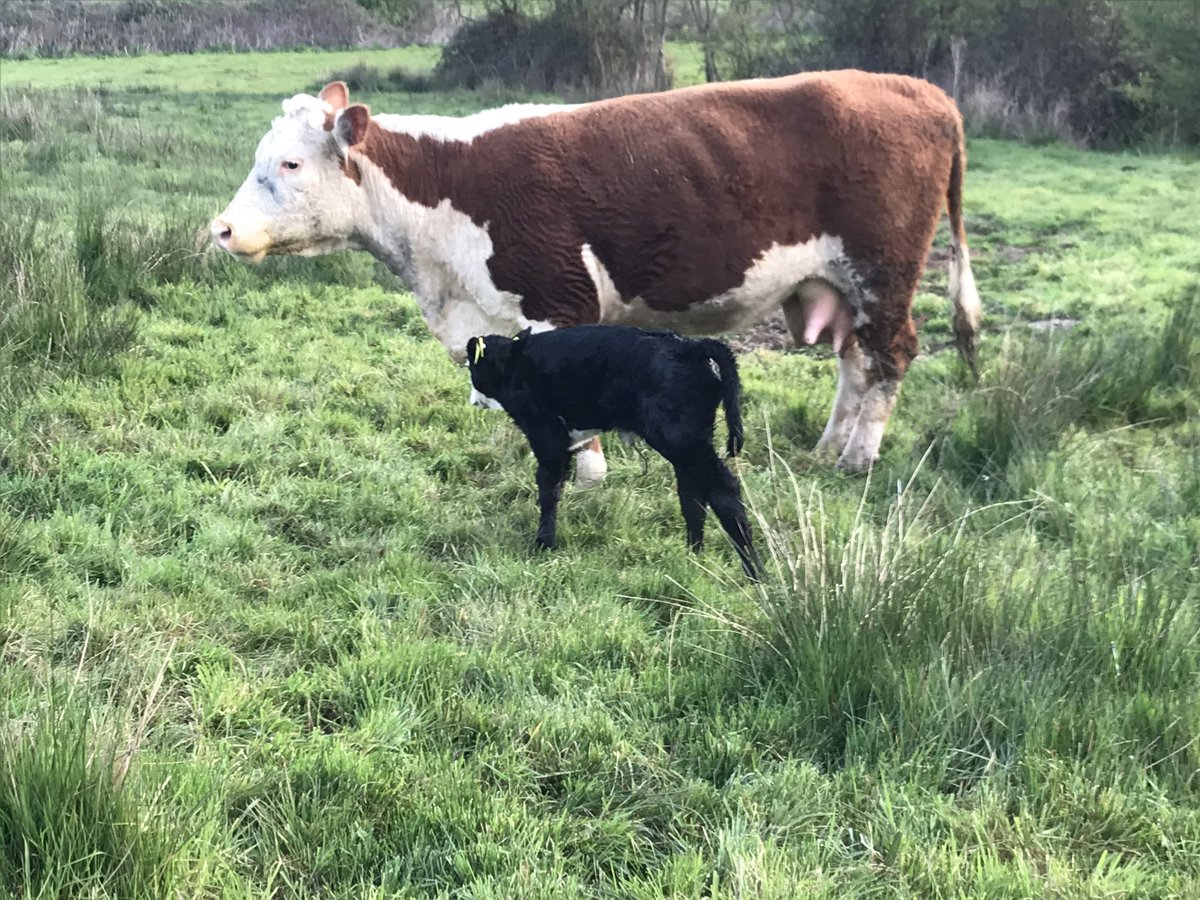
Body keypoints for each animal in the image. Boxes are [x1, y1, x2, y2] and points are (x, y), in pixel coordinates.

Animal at [211, 70, 981, 475]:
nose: (221, 229)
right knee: (854, 359)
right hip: (843, 283)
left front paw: (585, 474)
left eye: (290, 163)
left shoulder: (561, 301)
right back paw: (827, 448)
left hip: (884, 270)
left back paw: (859, 457)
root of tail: (916, 89)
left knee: (891, 355)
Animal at [465, 325, 760, 579]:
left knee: (724, 491)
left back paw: (754, 572)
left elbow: (548, 488)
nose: (473, 400)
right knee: (693, 497)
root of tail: (693, 345)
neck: (516, 365)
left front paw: (544, 543)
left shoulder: (547, 437)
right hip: (687, 445)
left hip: (683, 441)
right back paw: (693, 558)